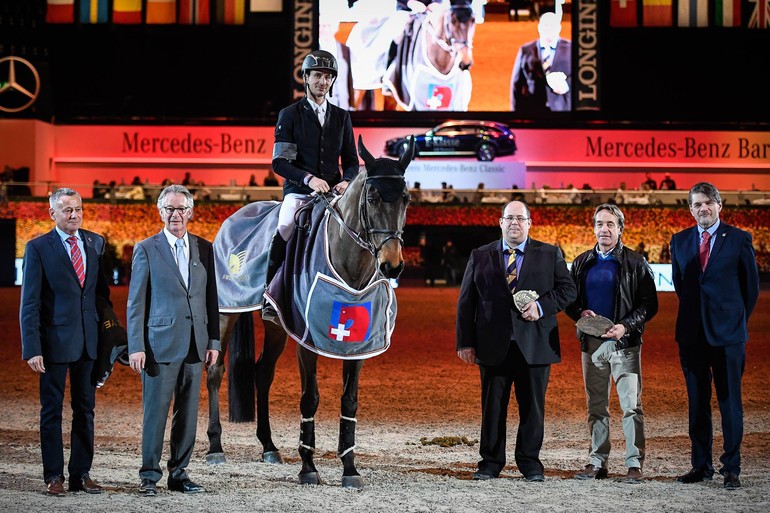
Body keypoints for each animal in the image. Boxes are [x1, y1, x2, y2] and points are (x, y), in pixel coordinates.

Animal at [201, 134, 412, 486]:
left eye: (406, 199)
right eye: (372, 198)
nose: (392, 266)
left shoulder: (359, 344)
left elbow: (349, 400)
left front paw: (350, 468)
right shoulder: (305, 340)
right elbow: (310, 396)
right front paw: (308, 467)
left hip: (275, 326)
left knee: (262, 373)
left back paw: (269, 447)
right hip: (225, 313)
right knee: (216, 370)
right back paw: (215, 447)